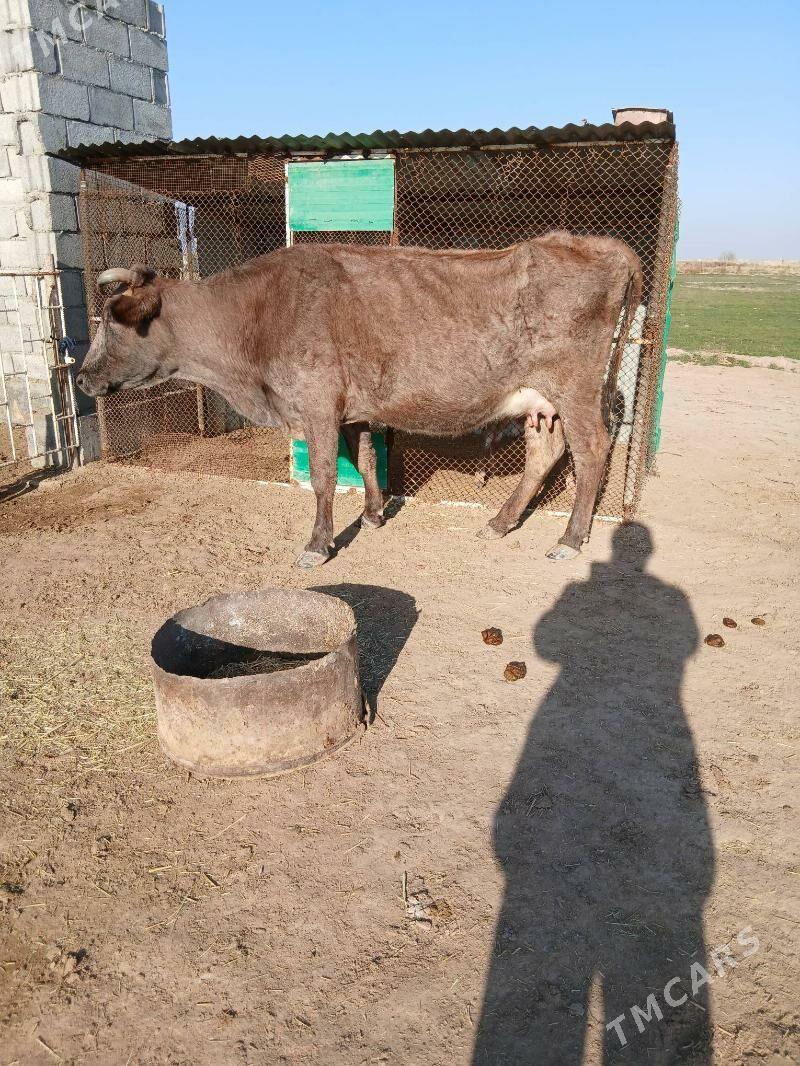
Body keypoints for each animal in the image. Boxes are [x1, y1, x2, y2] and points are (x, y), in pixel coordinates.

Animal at [77, 231, 642, 568]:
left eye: (111, 323)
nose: (81, 379)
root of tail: (594, 243)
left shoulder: (317, 402)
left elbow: (326, 476)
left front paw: (318, 544)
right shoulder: (355, 409)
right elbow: (367, 458)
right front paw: (372, 514)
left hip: (575, 388)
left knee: (592, 450)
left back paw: (569, 539)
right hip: (540, 401)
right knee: (545, 454)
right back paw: (500, 523)